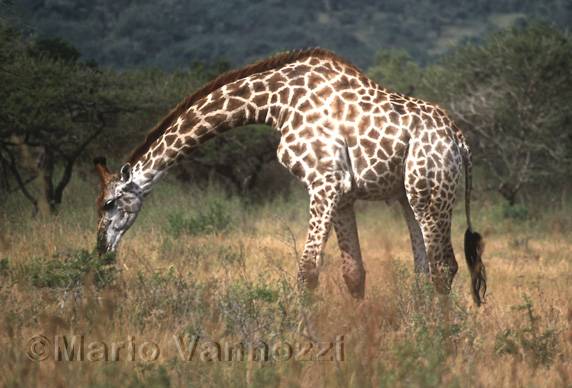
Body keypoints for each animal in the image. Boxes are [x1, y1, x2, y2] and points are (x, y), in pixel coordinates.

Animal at [95, 47, 488, 304]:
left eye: (108, 203)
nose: (101, 250)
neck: (276, 104)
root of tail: (459, 140)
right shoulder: (343, 192)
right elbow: (353, 273)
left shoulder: (325, 182)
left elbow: (307, 271)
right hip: (409, 194)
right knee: (424, 266)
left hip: (430, 192)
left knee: (444, 267)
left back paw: (439, 341)